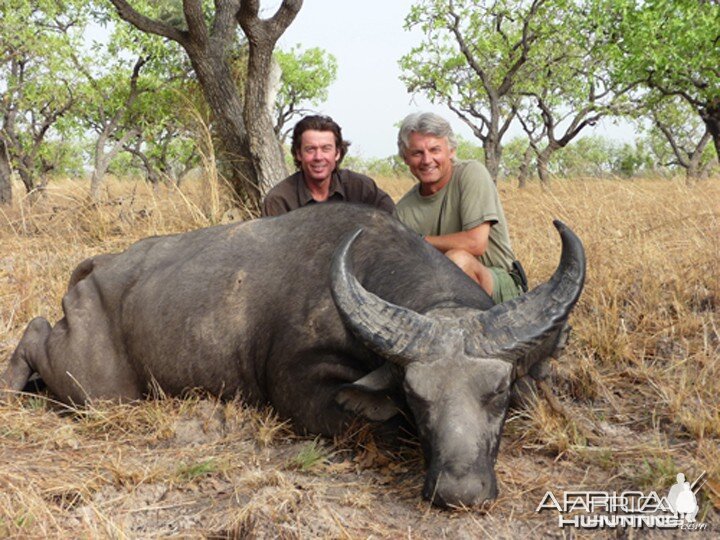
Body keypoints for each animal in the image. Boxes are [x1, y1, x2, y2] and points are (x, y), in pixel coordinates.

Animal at [1, 205, 584, 508]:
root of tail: (99, 266)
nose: (459, 491)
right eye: (415, 397)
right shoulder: (300, 387)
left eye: (498, 393)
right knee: (34, 330)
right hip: (95, 388)